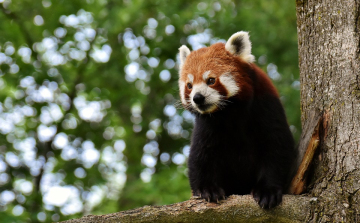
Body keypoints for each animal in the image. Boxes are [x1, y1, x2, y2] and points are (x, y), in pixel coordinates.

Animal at [179, 31, 296, 209]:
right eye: (189, 85)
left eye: (211, 80)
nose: (197, 98)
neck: (229, 112)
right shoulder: (207, 124)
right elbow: (200, 154)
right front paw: (208, 189)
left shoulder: (266, 106)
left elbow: (276, 146)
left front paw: (267, 191)